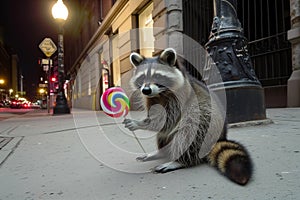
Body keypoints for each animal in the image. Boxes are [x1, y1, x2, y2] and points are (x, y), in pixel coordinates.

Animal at [123, 47, 253, 185]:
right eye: (142, 77)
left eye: (157, 76)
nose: (146, 90)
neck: (159, 94)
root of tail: (220, 137)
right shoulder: (150, 99)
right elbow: (161, 121)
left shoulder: (181, 97)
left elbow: (167, 120)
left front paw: (141, 123)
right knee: (163, 135)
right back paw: (161, 152)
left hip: (205, 123)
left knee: (188, 133)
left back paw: (179, 161)